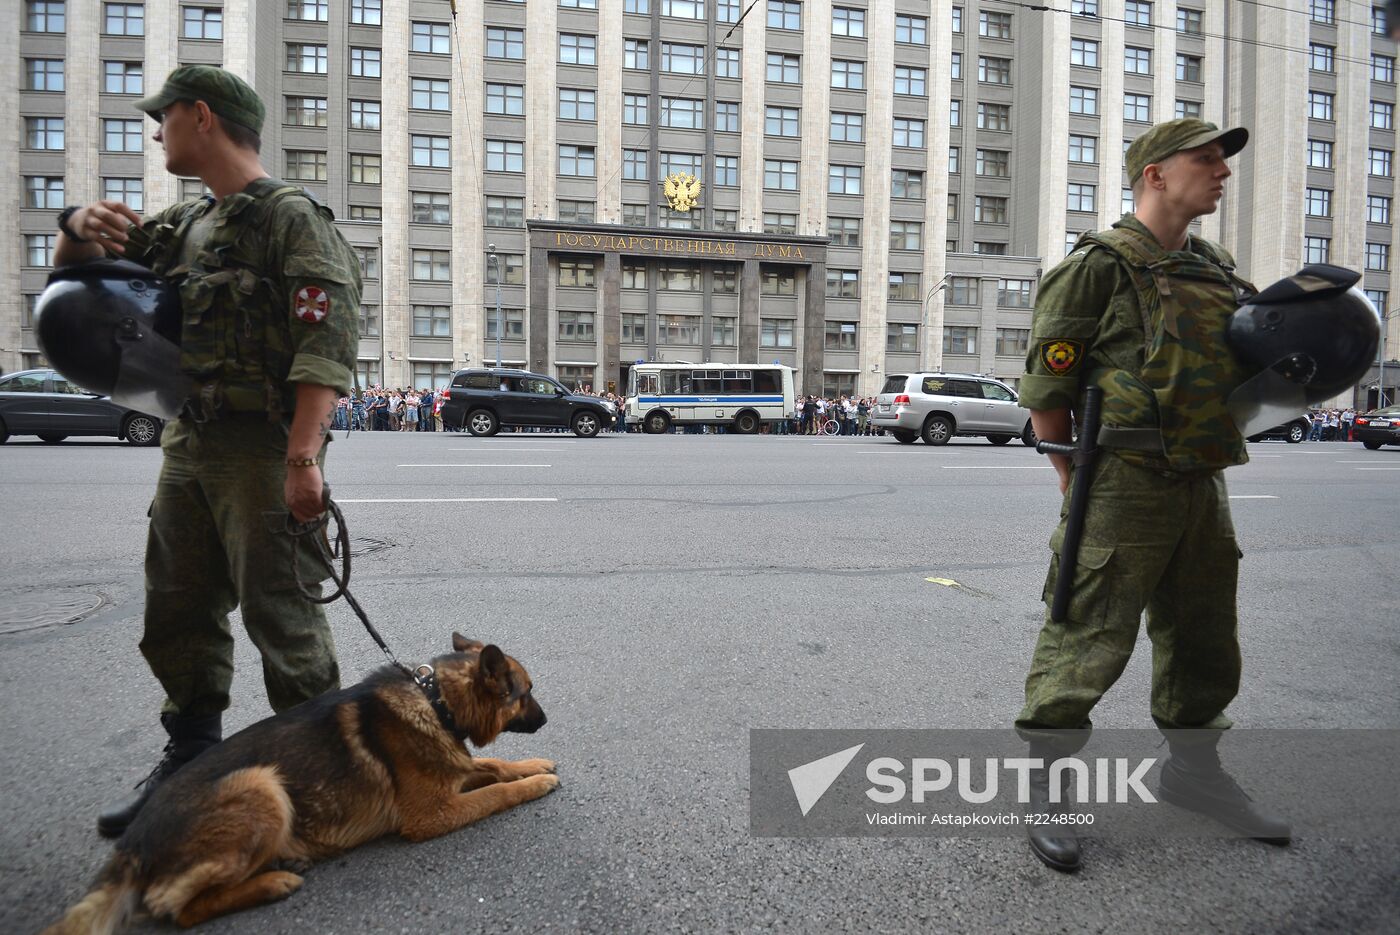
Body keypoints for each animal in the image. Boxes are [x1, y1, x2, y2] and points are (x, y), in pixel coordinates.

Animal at [45, 635, 557, 935]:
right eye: (527, 693)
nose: (547, 719)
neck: (437, 703)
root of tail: (131, 845)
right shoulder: (432, 815)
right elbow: (496, 792)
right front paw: (536, 783)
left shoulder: (456, 768)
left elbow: (493, 764)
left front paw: (532, 764)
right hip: (262, 786)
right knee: (176, 908)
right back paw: (273, 882)